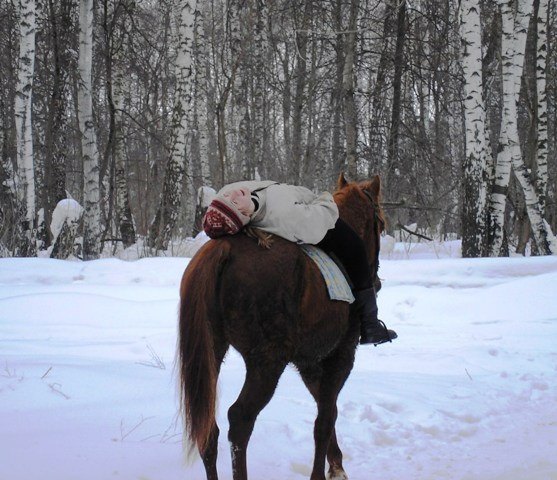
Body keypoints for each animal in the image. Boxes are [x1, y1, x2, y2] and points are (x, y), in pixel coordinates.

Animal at [179, 173, 386, 480]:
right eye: (381, 224)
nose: (377, 283)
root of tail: (223, 249)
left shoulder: (309, 362)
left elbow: (328, 410)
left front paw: (336, 465)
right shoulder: (341, 355)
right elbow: (324, 420)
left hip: (211, 353)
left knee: (209, 429)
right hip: (267, 361)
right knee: (240, 420)